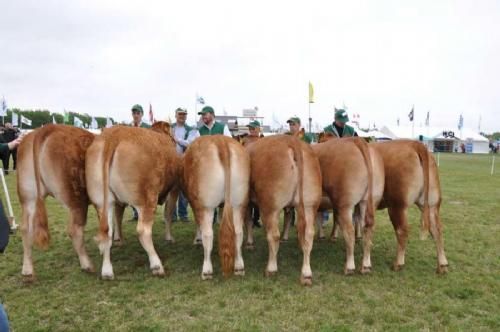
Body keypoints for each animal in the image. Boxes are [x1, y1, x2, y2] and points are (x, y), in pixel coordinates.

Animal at [16, 125, 95, 280]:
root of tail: (47, 128)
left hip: (28, 197)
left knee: (26, 229)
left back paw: (27, 270)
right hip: (77, 198)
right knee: (74, 230)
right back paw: (87, 265)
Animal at [86, 120, 180, 278]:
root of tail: (113, 135)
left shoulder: (118, 203)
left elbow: (118, 217)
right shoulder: (174, 190)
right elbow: (168, 214)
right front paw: (169, 238)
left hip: (102, 202)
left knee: (107, 232)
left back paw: (107, 271)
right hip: (147, 199)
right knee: (143, 231)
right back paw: (156, 265)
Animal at [182, 134, 250, 278]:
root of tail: (221, 141)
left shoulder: (194, 203)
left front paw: (197, 239)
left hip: (205, 206)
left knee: (208, 235)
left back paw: (207, 270)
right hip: (239, 203)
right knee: (238, 232)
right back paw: (239, 267)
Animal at [246, 135, 320, 286]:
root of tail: (292, 141)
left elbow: (248, 221)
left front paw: (249, 244)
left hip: (270, 206)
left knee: (273, 235)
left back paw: (271, 268)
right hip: (310, 205)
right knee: (308, 235)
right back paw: (306, 274)